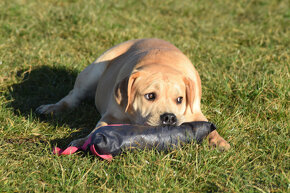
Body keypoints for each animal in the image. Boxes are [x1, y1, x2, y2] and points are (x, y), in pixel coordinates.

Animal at [36, 38, 230, 150]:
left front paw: (219, 142)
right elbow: (97, 129)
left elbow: (209, 126)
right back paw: (51, 108)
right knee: (73, 96)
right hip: (93, 70)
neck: (162, 63)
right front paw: (81, 141)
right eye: (150, 96)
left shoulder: (194, 112)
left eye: (180, 99)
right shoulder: (111, 116)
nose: (169, 117)